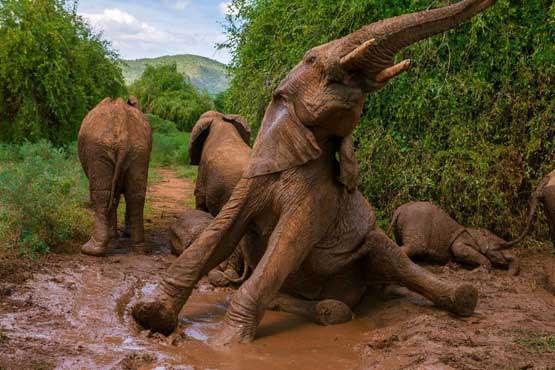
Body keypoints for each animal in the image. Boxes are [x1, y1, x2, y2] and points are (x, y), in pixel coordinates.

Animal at [77, 97, 152, 256]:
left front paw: (113, 236)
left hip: (98, 150)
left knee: (102, 194)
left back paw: (90, 250)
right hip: (139, 151)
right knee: (135, 195)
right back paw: (140, 249)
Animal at [390, 202, 520, 274]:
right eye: (499, 248)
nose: (508, 273)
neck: (481, 236)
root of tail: (399, 211)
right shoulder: (461, 242)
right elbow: (460, 250)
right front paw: (479, 271)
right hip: (417, 219)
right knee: (416, 246)